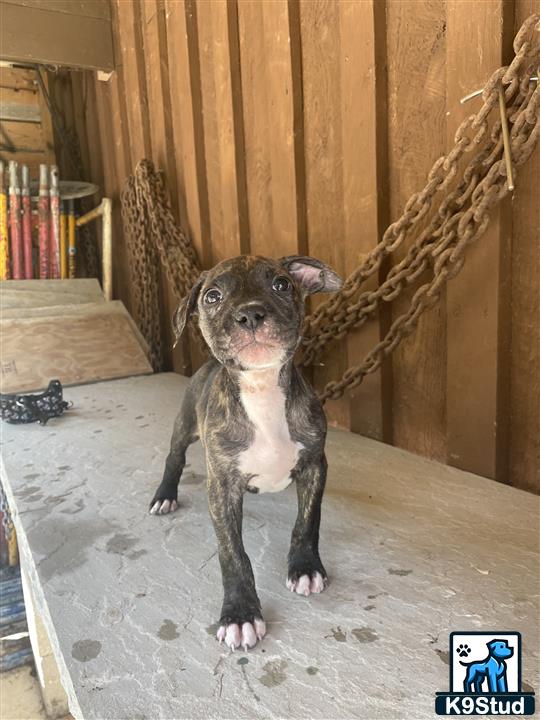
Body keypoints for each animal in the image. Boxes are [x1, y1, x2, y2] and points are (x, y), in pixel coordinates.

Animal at [148, 255, 342, 652]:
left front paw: (305, 567)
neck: (261, 390)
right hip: (183, 425)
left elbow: (307, 521)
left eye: (282, 285)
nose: (250, 314)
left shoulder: (314, 465)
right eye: (212, 296)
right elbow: (232, 553)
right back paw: (164, 495)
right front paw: (240, 614)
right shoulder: (221, 487)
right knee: (174, 458)